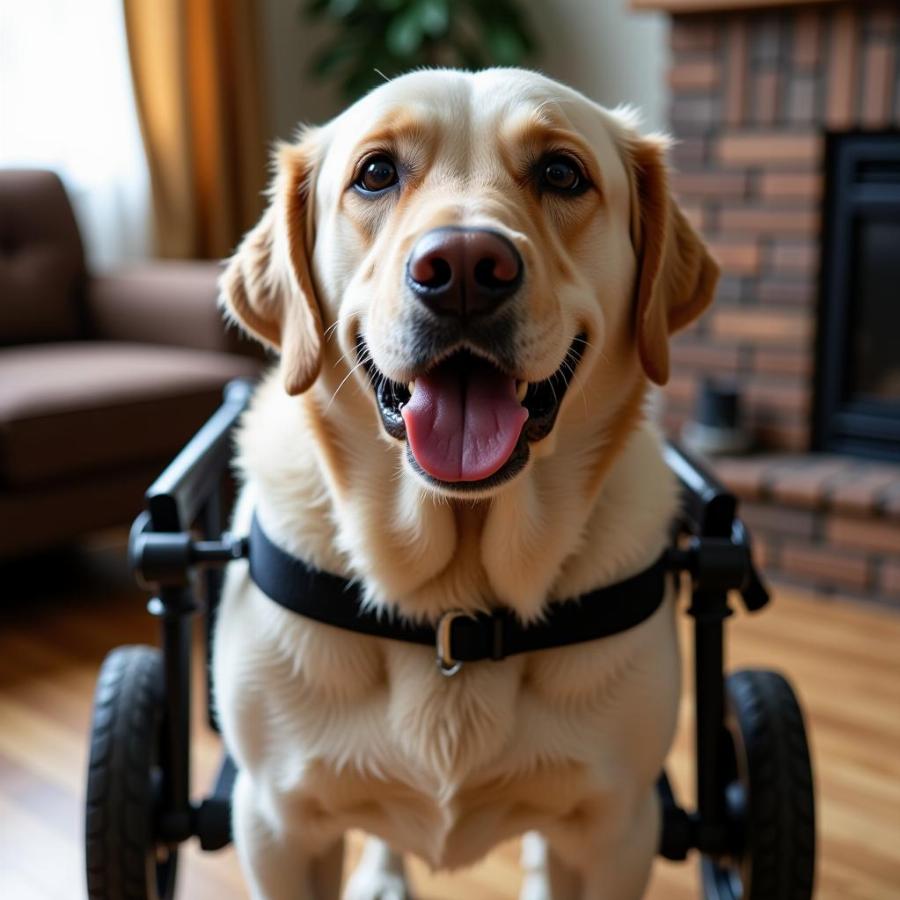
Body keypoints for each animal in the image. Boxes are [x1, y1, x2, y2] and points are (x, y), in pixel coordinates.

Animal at [213, 65, 716, 900]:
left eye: (562, 172)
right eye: (376, 173)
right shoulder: (274, 823)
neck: (455, 596)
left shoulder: (619, 826)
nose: (464, 270)